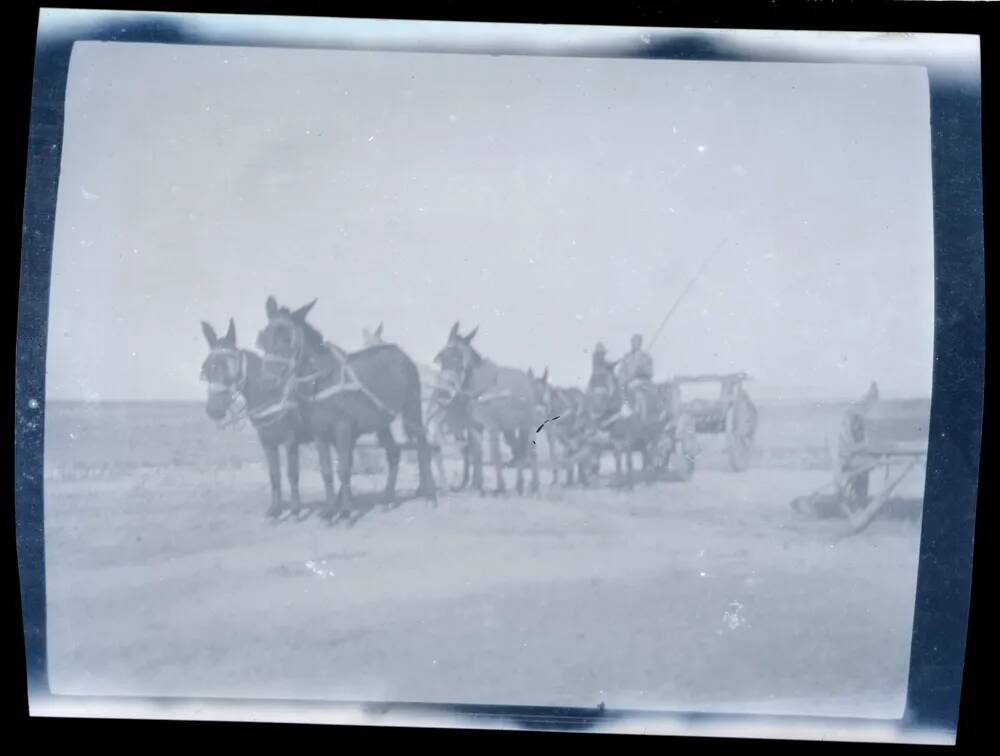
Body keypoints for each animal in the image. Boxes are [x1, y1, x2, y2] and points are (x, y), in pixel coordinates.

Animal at [201, 316, 310, 516]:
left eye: (230, 365)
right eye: (206, 367)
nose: (213, 410)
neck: (270, 394)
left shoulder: (291, 440)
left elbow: (292, 473)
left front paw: (295, 509)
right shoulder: (267, 441)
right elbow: (274, 474)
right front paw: (275, 509)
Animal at [254, 298, 434, 516]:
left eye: (289, 339)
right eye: (265, 336)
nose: (268, 382)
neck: (322, 380)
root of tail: (400, 352)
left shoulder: (343, 427)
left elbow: (344, 469)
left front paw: (346, 511)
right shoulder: (319, 432)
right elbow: (327, 470)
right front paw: (329, 511)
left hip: (412, 408)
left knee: (422, 445)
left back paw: (428, 494)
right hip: (382, 421)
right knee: (393, 453)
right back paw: (387, 499)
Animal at [430, 324, 540, 496]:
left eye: (459, 357)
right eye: (443, 356)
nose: (443, 392)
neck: (478, 389)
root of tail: (526, 379)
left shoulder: (492, 427)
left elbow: (495, 455)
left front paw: (500, 488)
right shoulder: (475, 427)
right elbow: (477, 454)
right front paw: (479, 486)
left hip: (527, 424)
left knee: (532, 451)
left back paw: (534, 487)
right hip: (509, 428)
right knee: (518, 449)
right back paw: (519, 486)